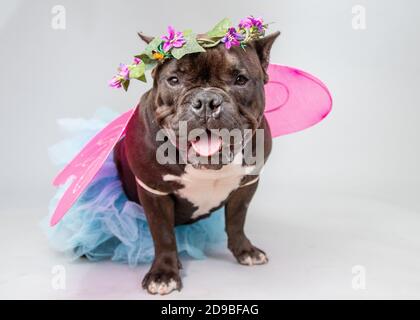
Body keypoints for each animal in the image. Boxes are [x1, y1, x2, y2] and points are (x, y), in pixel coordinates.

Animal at [113, 30, 280, 296]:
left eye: (240, 79)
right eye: (173, 80)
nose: (206, 101)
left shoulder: (247, 184)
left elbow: (237, 220)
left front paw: (245, 251)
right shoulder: (154, 192)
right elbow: (163, 234)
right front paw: (164, 274)